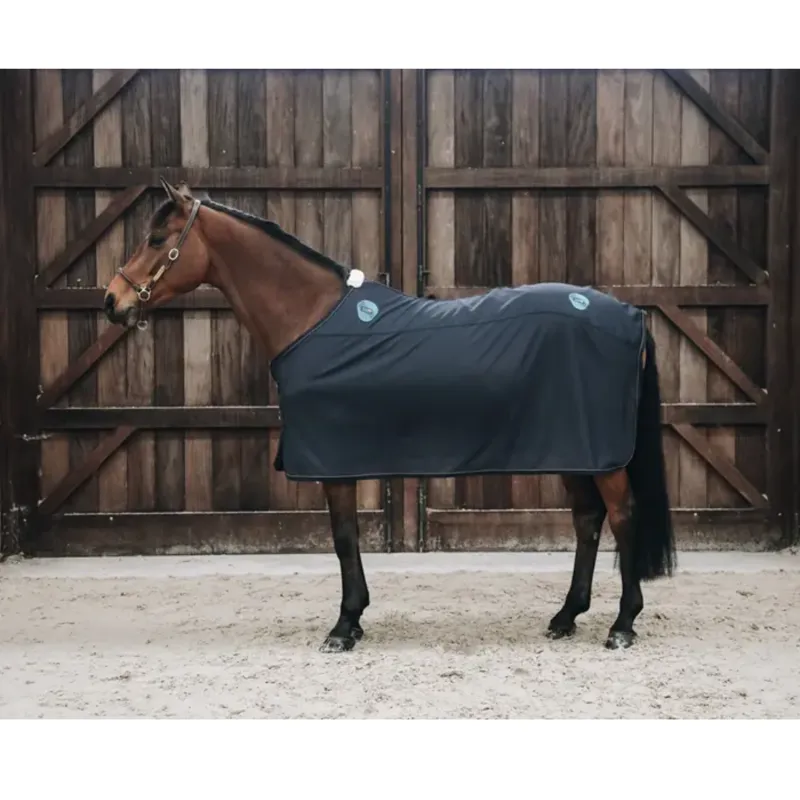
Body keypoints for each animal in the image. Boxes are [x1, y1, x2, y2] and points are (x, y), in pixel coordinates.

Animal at [103, 178, 676, 653]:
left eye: (156, 239)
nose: (112, 301)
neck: (311, 316)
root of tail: (630, 314)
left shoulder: (333, 461)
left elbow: (343, 539)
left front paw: (343, 626)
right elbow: (349, 537)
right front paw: (353, 621)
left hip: (600, 456)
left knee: (622, 517)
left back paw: (622, 625)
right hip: (571, 449)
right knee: (587, 520)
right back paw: (565, 616)